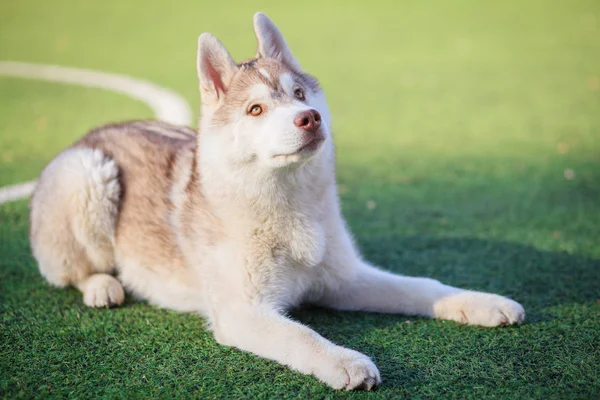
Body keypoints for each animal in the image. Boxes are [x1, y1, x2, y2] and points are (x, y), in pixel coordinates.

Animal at [29, 12, 524, 390]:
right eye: (255, 109)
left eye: (300, 94)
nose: (310, 118)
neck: (287, 209)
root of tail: (88, 135)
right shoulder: (243, 311)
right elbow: (302, 336)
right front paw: (345, 361)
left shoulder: (344, 280)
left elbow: (422, 286)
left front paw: (481, 302)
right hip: (89, 174)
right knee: (72, 271)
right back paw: (101, 285)